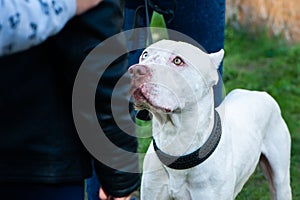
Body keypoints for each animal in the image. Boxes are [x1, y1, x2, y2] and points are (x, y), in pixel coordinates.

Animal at [128, 39, 290, 199]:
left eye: (178, 61)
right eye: (145, 54)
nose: (135, 70)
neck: (176, 141)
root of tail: (259, 93)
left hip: (281, 182)